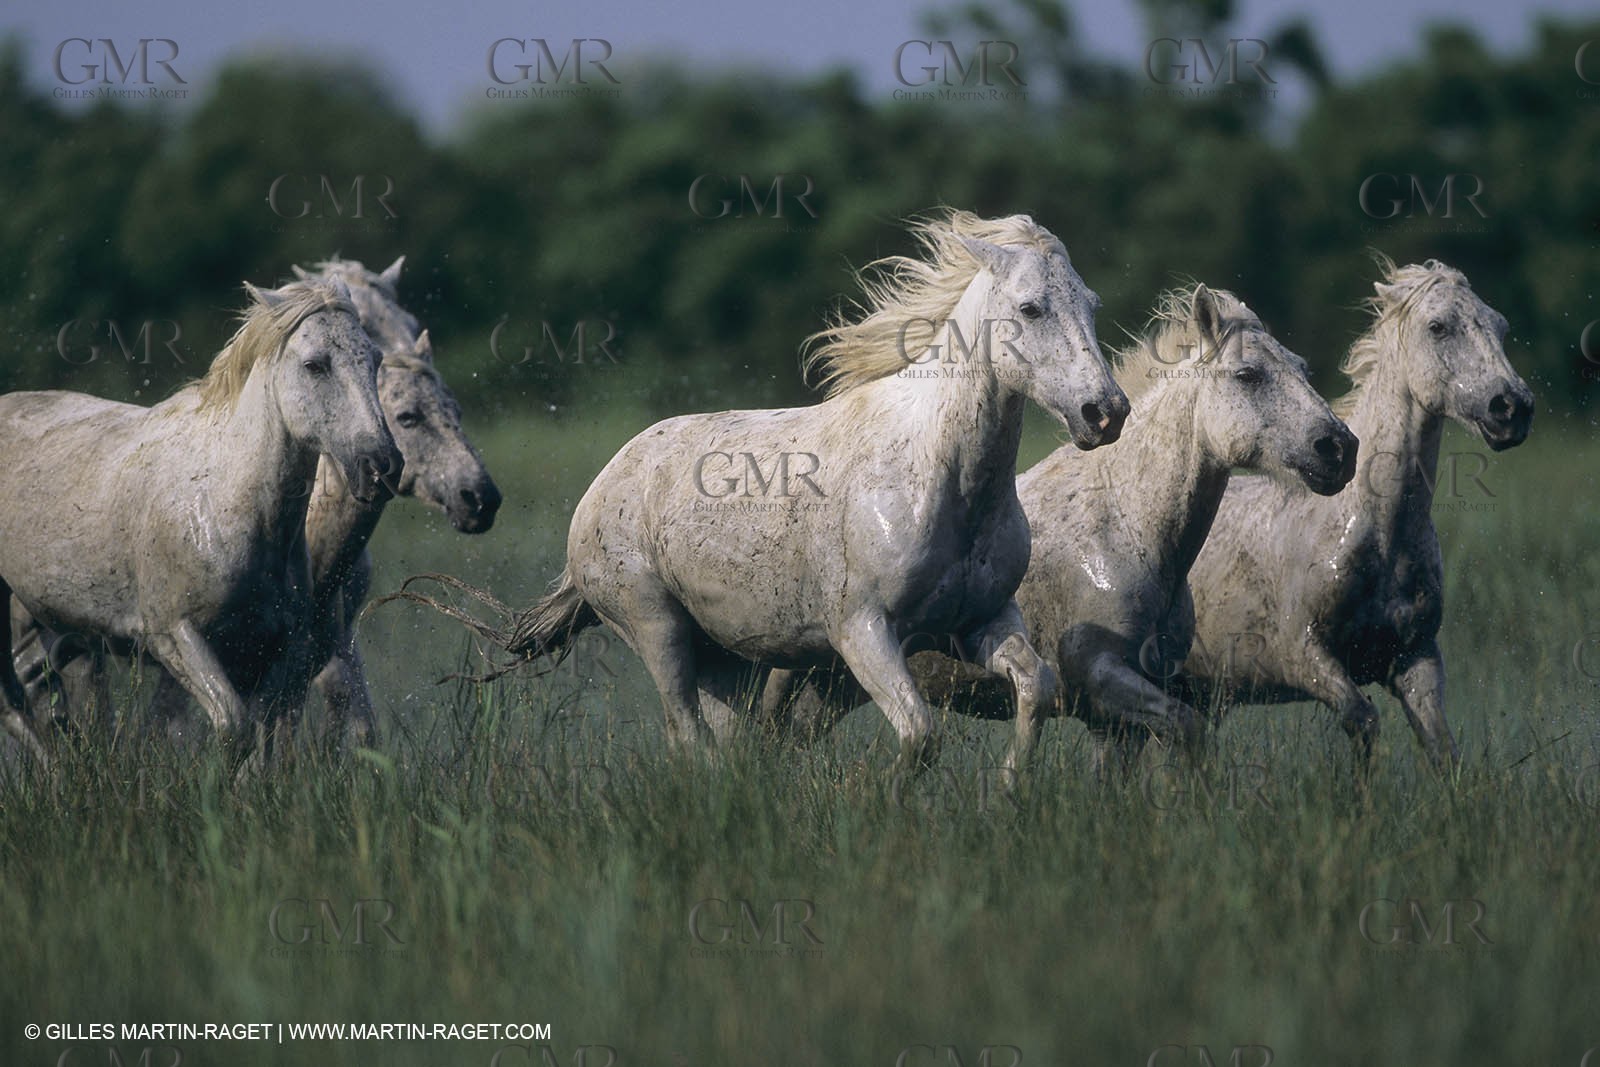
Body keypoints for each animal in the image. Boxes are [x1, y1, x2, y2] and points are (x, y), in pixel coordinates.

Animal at [11, 257, 502, 750]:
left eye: (407, 323)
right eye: (409, 417)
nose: (480, 498)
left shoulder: (315, 649)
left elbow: (348, 729)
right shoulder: (186, 644)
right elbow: (179, 728)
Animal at [397, 209, 1129, 766]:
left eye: (1092, 305)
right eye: (1031, 307)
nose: (1107, 412)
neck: (940, 477)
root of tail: (603, 485)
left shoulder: (979, 620)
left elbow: (1035, 687)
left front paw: (1009, 794)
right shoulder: (863, 630)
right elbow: (920, 735)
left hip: (729, 661)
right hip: (656, 629)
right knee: (688, 738)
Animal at [1178, 257, 1533, 769]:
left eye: (1500, 326)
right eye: (1438, 327)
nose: (1512, 408)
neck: (1377, 532)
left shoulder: (1416, 658)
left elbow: (1441, 748)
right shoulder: (1304, 656)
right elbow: (1363, 722)